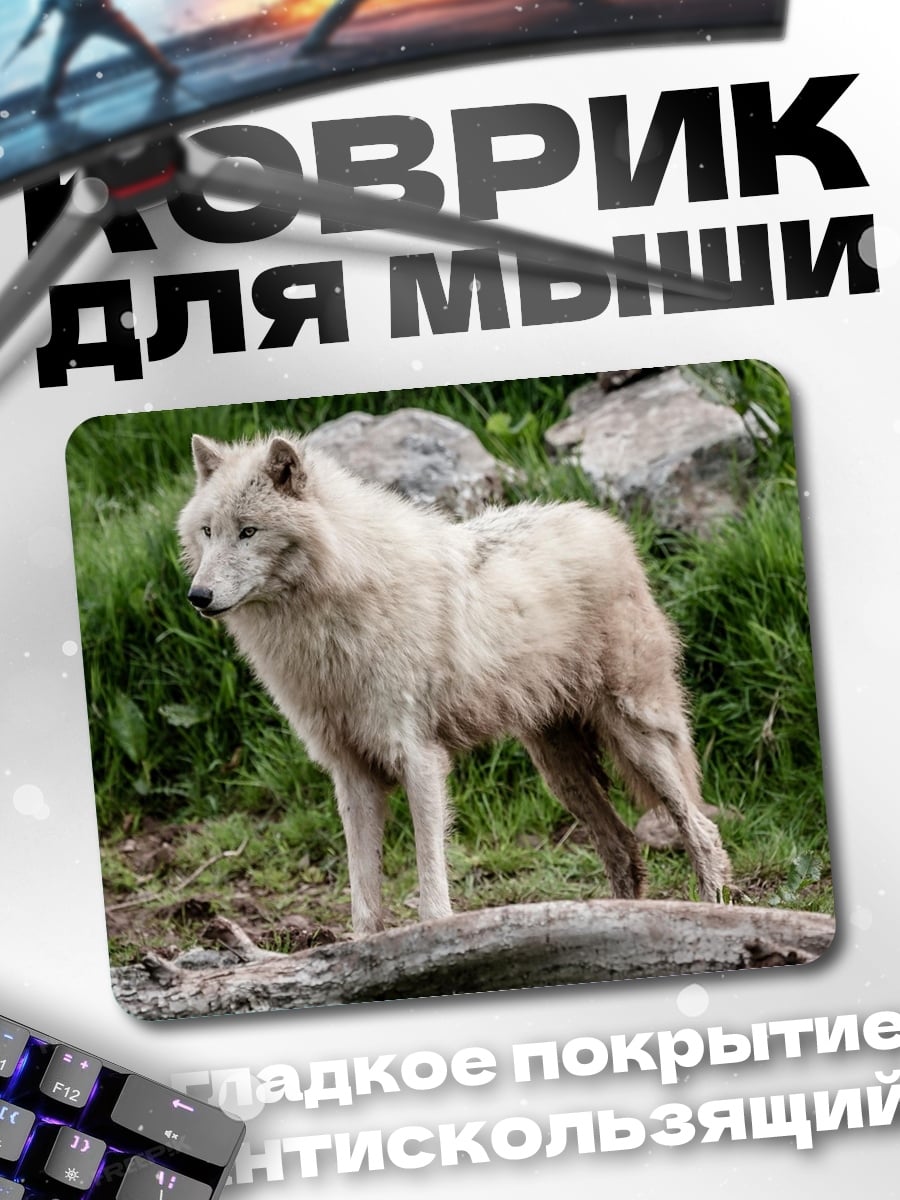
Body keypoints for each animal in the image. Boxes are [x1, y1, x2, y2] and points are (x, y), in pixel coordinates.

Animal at [178, 431, 732, 936]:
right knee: (622, 849)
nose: (197, 597)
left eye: (249, 532)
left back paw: (715, 914)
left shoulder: (420, 760)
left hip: (635, 738)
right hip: (559, 771)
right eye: (207, 531)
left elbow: (431, 894)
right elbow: (364, 904)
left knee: (701, 830)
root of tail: (605, 524)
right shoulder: (351, 774)